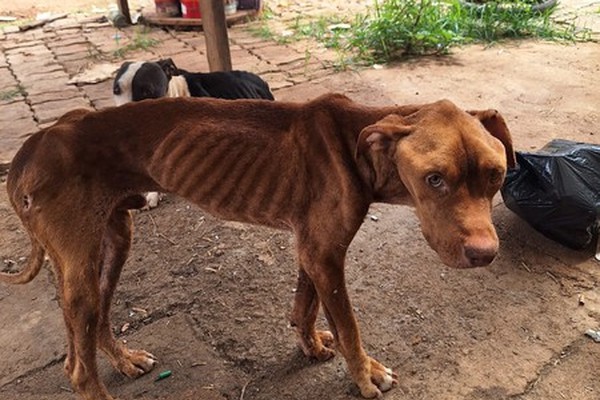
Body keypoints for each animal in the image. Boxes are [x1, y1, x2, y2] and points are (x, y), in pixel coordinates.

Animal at [1, 94, 516, 400]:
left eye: (496, 175)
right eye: (435, 179)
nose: (485, 254)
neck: (360, 146)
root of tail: (33, 144)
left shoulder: (313, 249)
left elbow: (305, 307)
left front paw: (311, 345)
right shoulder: (326, 256)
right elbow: (349, 326)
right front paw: (366, 374)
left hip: (112, 243)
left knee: (88, 332)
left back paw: (123, 359)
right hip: (82, 266)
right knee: (77, 368)